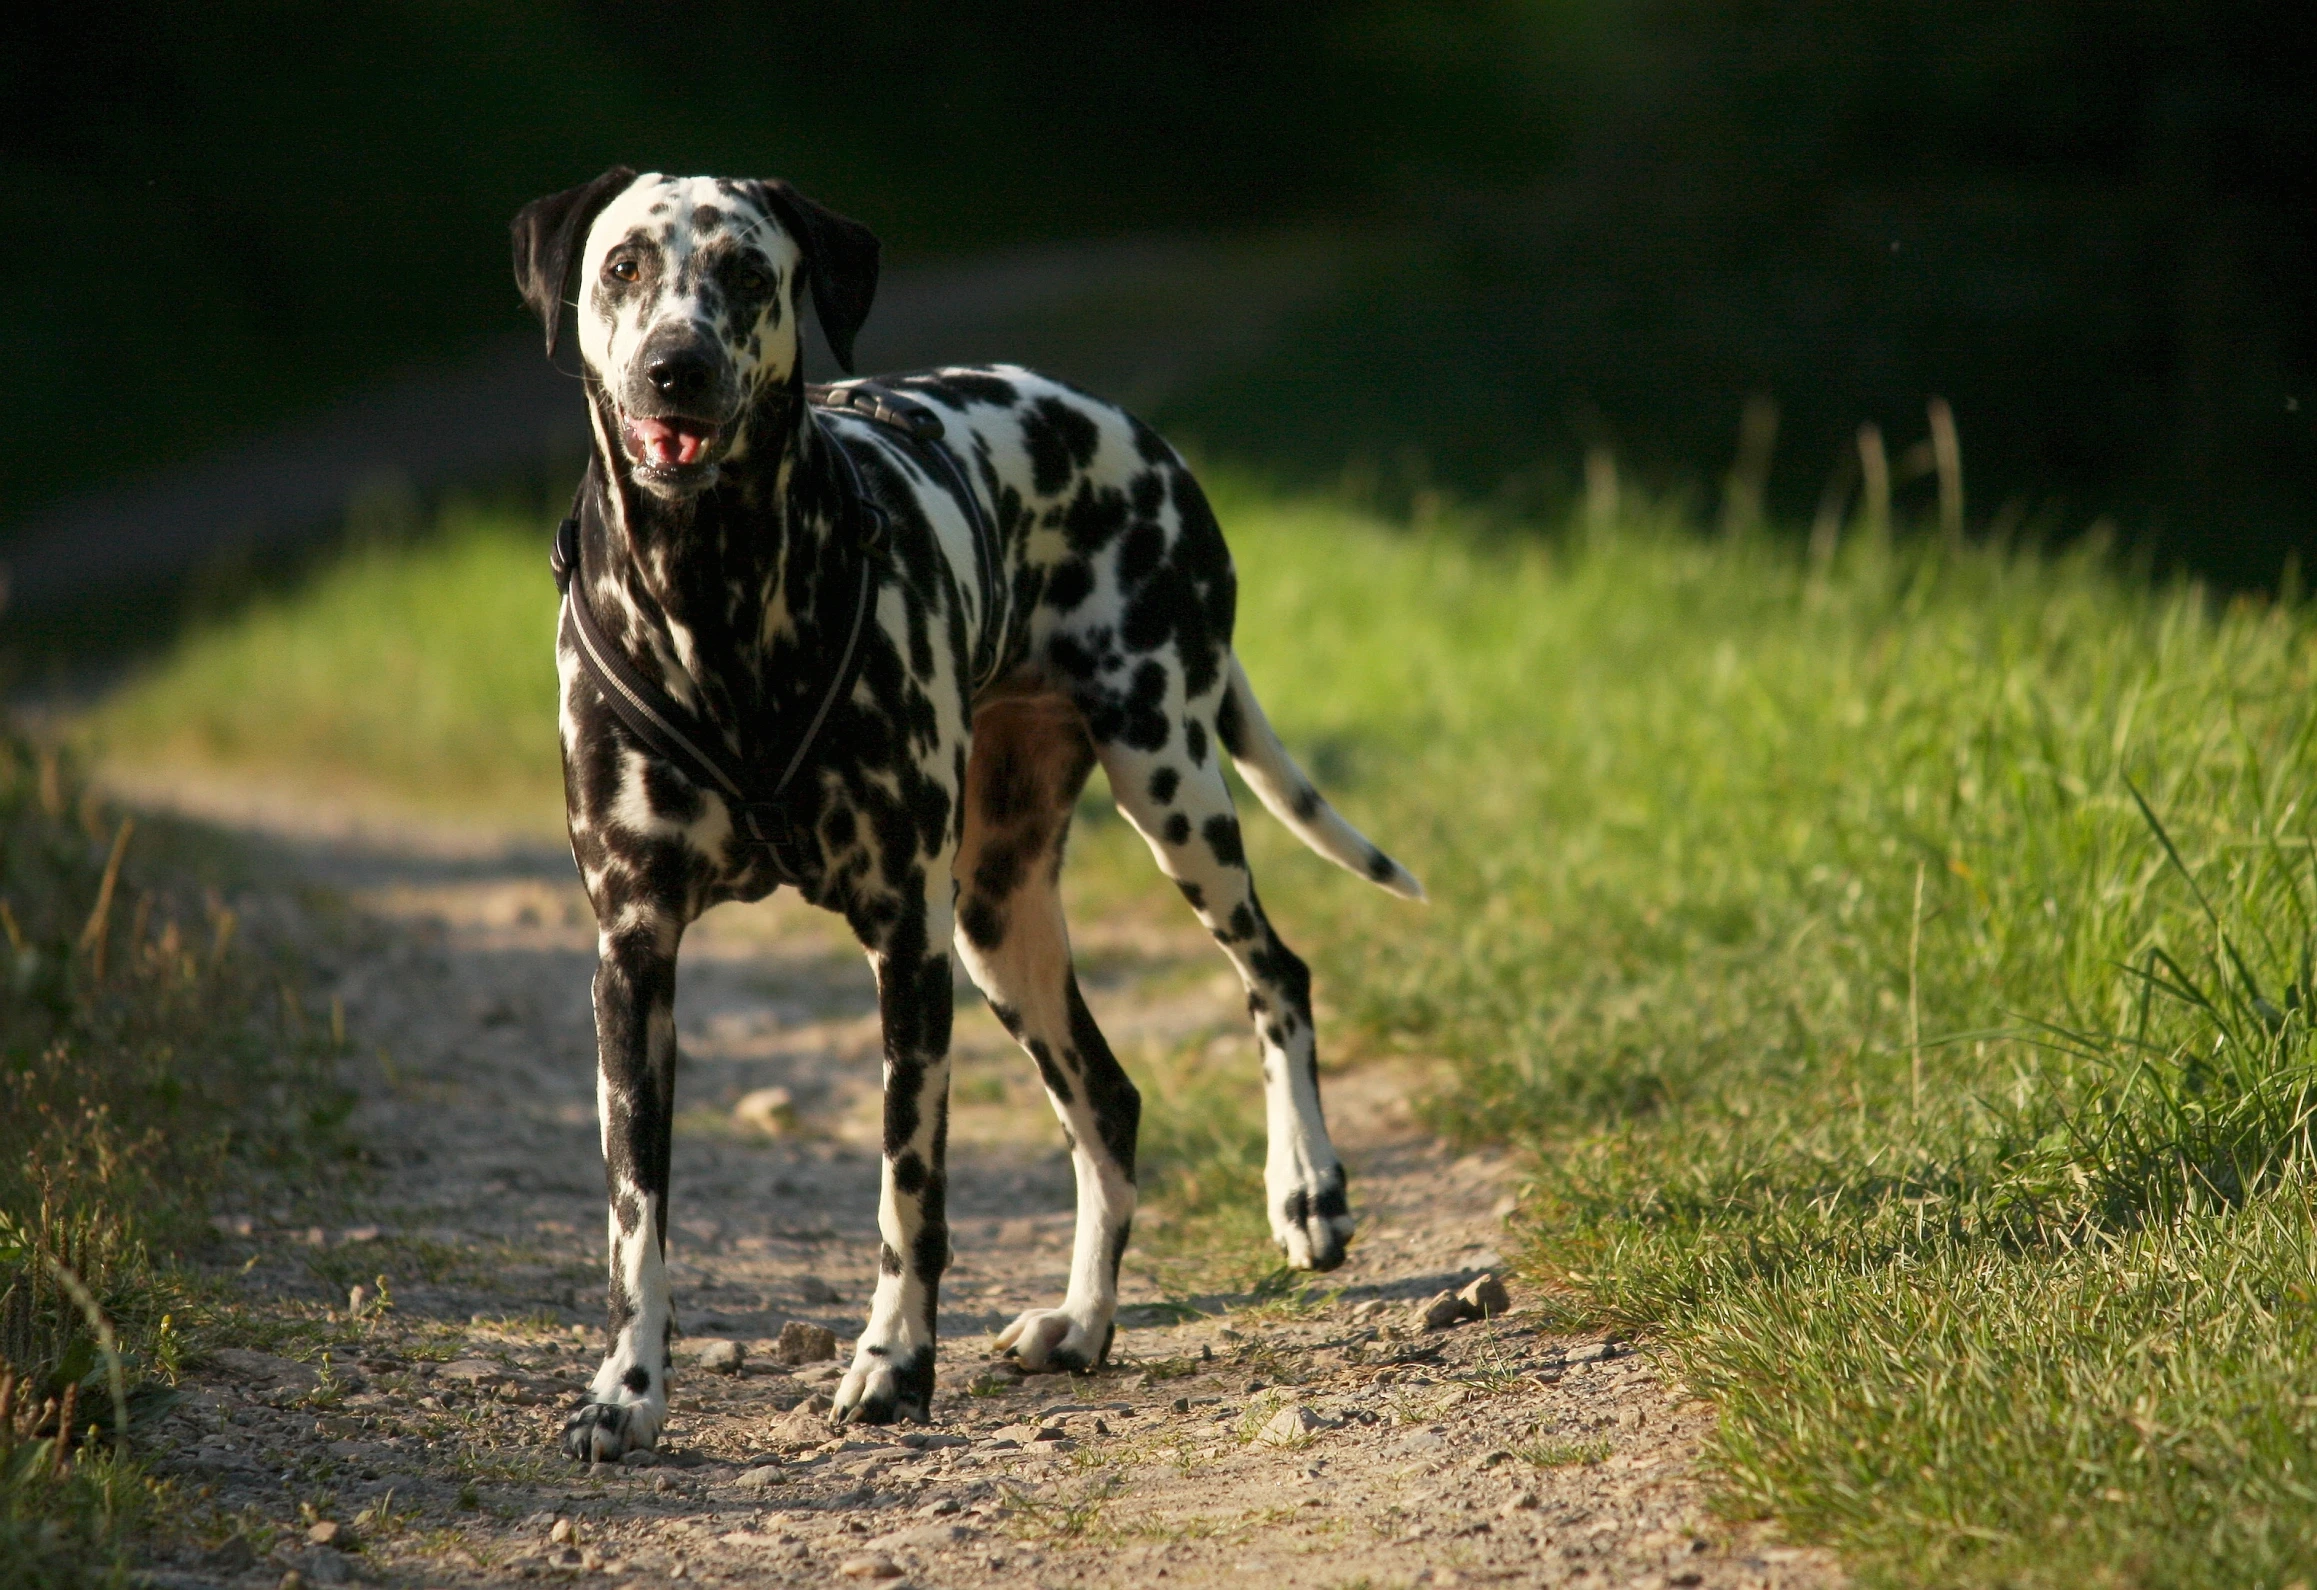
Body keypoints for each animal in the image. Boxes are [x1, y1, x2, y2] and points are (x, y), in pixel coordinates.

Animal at [509, 171, 1418, 1455]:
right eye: (623, 265)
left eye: (746, 271)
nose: (675, 367)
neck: (714, 595)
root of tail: (1131, 428)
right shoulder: (632, 960)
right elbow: (635, 1220)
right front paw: (625, 1393)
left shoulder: (905, 944)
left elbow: (910, 1196)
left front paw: (892, 1366)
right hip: (1001, 927)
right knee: (1110, 1103)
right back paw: (1083, 1324)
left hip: (1169, 790)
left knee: (1273, 974)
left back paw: (1306, 1190)